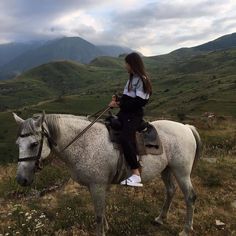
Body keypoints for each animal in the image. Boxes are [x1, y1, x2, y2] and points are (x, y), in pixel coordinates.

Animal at [12, 112, 201, 236]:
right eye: (18, 143)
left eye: (34, 144)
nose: (21, 179)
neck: (84, 142)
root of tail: (186, 127)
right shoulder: (96, 186)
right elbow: (101, 211)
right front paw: (106, 227)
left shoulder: (97, 185)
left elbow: (97, 215)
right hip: (167, 169)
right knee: (170, 190)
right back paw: (160, 218)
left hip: (181, 171)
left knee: (190, 196)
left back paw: (186, 229)